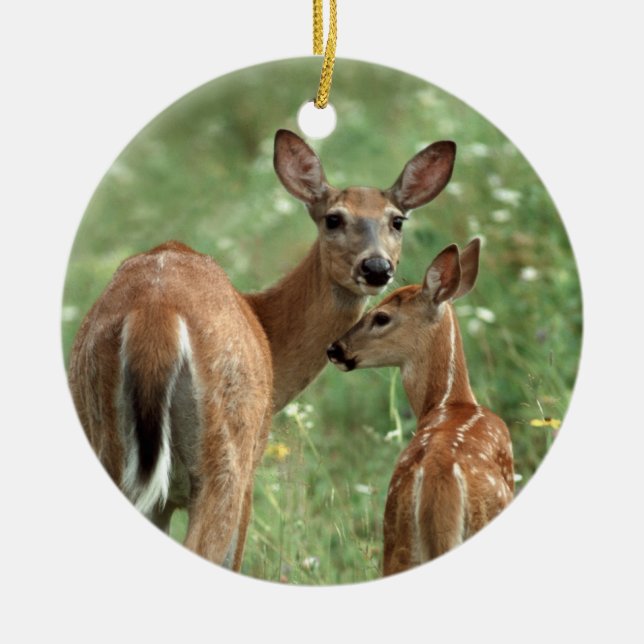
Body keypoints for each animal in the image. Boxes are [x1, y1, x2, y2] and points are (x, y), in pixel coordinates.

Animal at [68, 129, 457, 571]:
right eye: (333, 218)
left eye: (397, 220)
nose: (376, 268)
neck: (265, 325)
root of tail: (156, 313)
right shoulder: (251, 466)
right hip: (227, 454)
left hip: (110, 443)